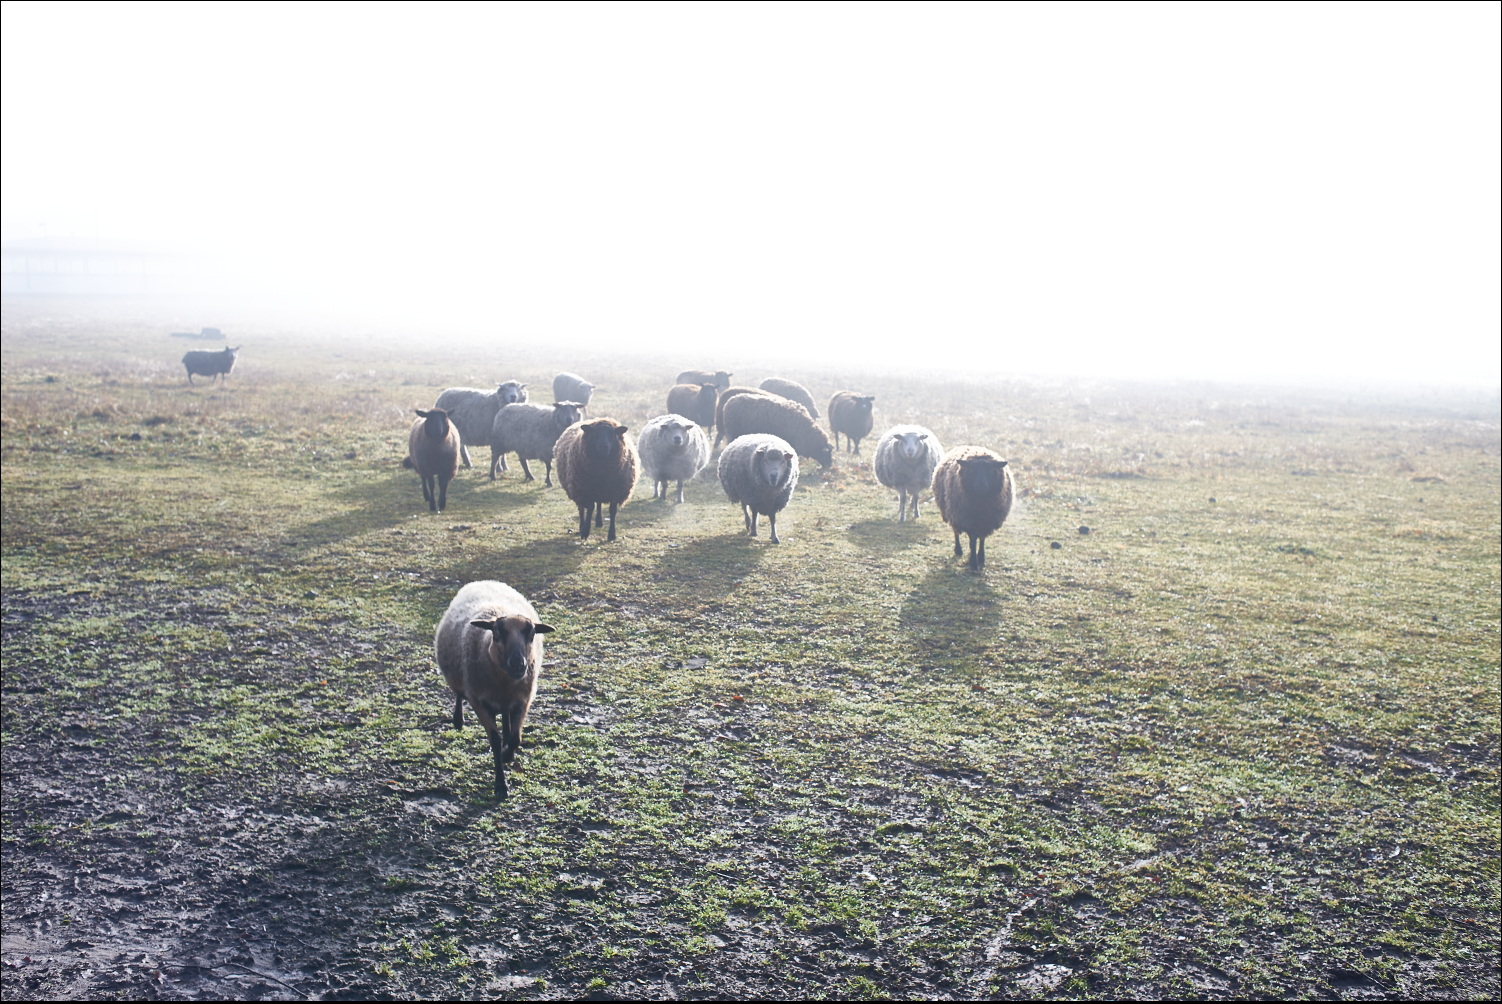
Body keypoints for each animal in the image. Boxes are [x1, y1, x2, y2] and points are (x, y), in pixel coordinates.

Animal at [434, 580, 554, 800]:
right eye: (496, 635)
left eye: (532, 635)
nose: (518, 665)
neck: (505, 681)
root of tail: (484, 581)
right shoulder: (478, 700)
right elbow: (495, 740)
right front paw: (500, 784)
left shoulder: (523, 699)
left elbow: (515, 738)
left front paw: (508, 754)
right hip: (460, 679)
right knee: (458, 694)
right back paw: (458, 720)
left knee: (506, 719)